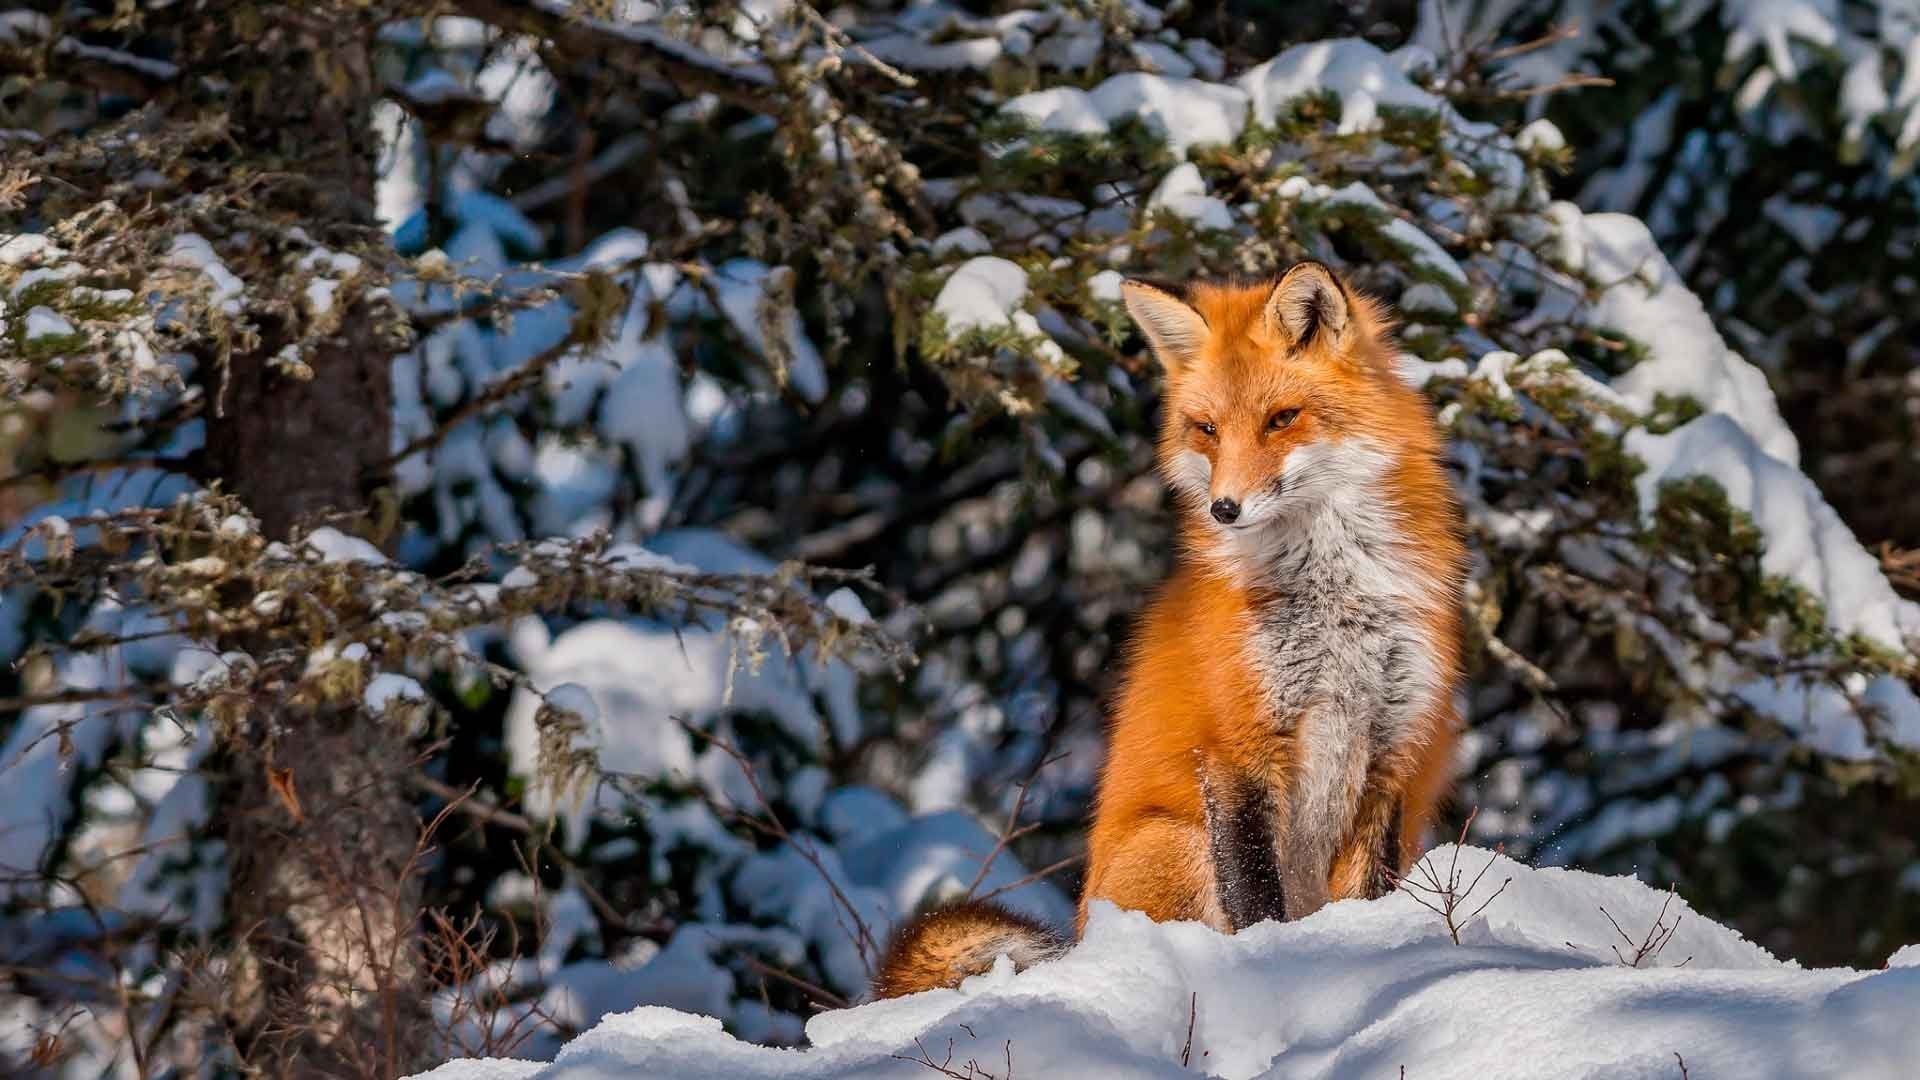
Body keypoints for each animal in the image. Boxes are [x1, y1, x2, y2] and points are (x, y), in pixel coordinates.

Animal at [875, 259, 1466, 991]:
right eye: (1207, 429)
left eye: (1282, 419)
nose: (1224, 509)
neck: (1333, 601)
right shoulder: (1236, 744)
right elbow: (1254, 893)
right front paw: (1276, 967)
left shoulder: (1393, 749)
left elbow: (1371, 893)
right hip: (1175, 838)